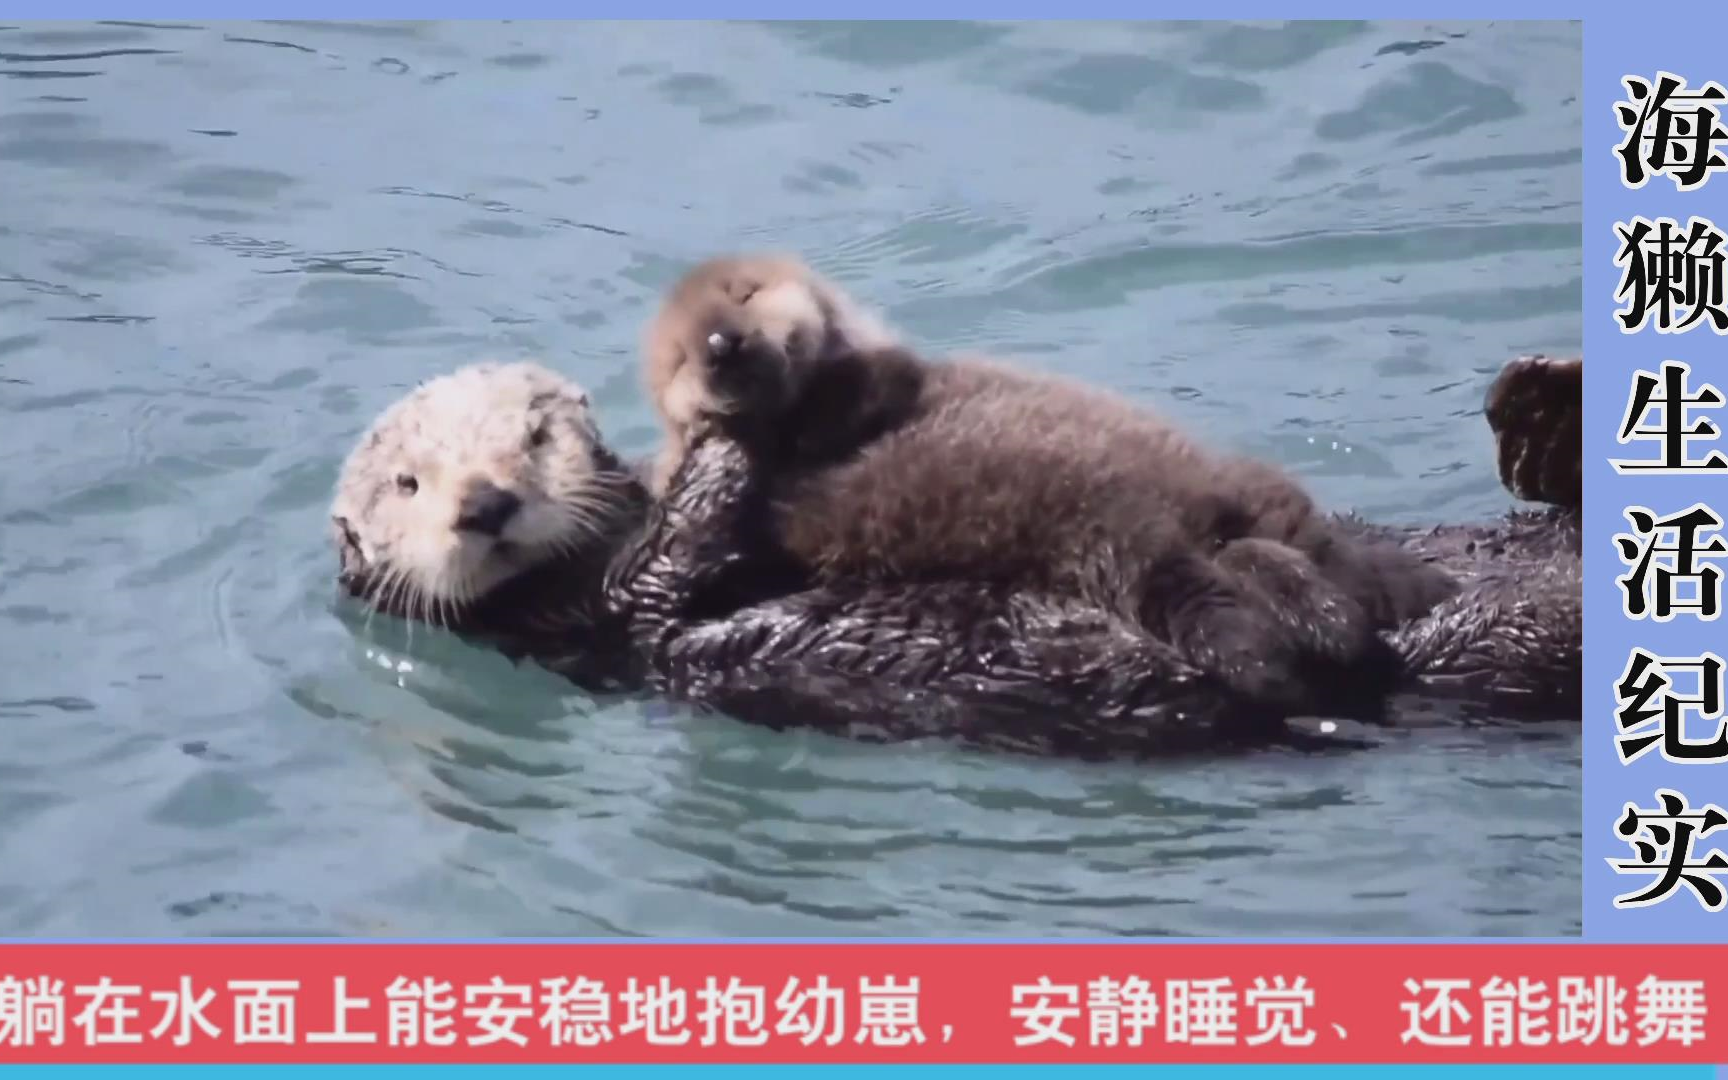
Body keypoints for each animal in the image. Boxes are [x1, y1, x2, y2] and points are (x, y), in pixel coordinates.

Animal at [326, 354, 1582, 756]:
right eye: (408, 483)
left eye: (530, 436)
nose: (486, 502)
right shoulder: (594, 625)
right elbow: (669, 577)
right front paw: (725, 441)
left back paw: (1538, 409)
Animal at [649, 257, 1472, 718]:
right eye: (683, 357)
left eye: (746, 293)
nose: (723, 347)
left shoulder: (877, 374)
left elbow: (858, 390)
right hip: (1136, 538)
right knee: (1239, 583)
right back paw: (1333, 630)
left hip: (1190, 510)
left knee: (1285, 559)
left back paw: (1372, 610)